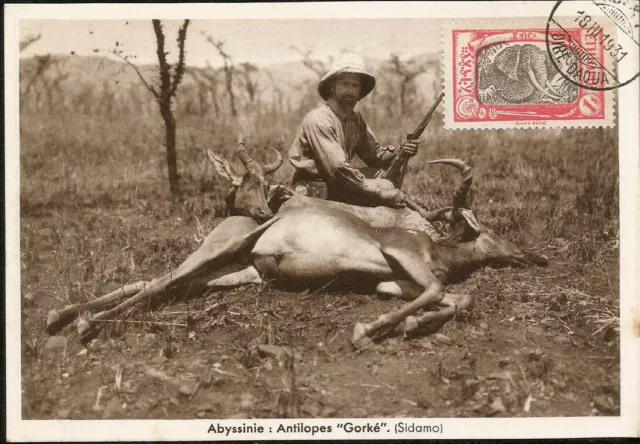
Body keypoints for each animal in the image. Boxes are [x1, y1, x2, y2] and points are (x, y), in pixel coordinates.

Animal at [47, 151, 548, 348]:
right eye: (492, 229)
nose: (535, 256)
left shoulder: (394, 282)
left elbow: (459, 297)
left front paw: (407, 325)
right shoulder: (403, 256)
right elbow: (444, 292)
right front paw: (368, 330)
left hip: (234, 272)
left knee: (157, 281)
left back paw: (60, 315)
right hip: (217, 253)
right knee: (160, 282)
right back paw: (83, 323)